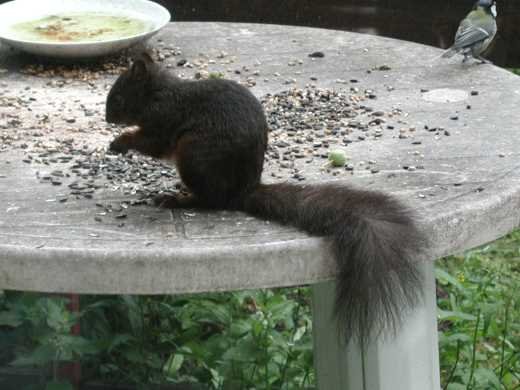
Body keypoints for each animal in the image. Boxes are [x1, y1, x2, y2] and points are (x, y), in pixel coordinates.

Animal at [105, 53, 426, 346]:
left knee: (211, 200)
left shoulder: (163, 119)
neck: (158, 92)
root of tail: (243, 191)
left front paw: (120, 141)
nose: (107, 118)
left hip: (194, 154)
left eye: (118, 96)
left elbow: (152, 143)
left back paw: (178, 199)